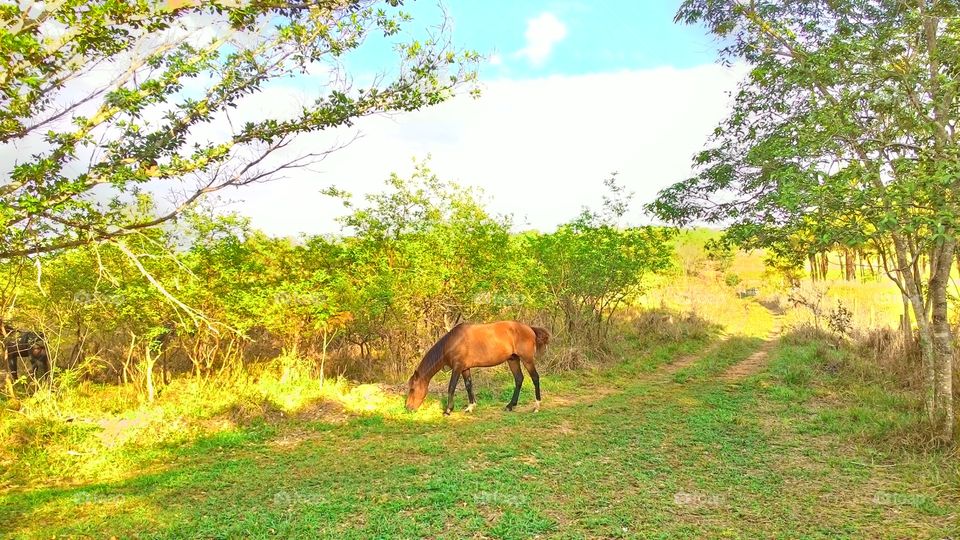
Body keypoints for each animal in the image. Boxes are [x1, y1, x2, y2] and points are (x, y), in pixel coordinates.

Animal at [404, 322, 552, 416]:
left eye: (412, 389)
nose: (408, 408)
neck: (453, 342)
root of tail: (529, 328)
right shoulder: (465, 368)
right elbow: (468, 385)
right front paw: (470, 407)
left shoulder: (457, 368)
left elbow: (451, 387)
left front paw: (448, 410)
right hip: (513, 360)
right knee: (519, 379)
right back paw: (510, 405)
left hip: (527, 360)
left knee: (535, 378)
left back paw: (537, 406)